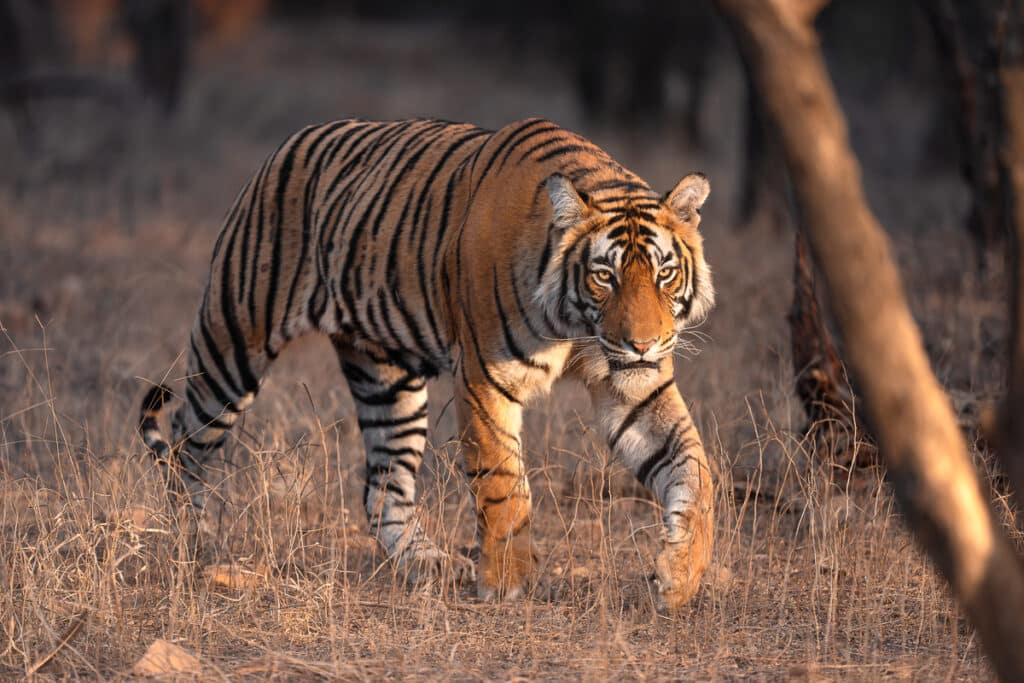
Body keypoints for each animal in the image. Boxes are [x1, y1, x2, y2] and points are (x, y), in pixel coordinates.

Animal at [139, 117, 716, 608]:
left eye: (663, 274)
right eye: (604, 276)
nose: (643, 344)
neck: (576, 327)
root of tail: (289, 141)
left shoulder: (635, 390)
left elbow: (695, 470)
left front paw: (680, 576)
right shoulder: (485, 379)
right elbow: (504, 484)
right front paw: (507, 585)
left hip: (386, 379)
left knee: (381, 487)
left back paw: (425, 564)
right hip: (235, 339)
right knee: (188, 439)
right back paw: (192, 543)